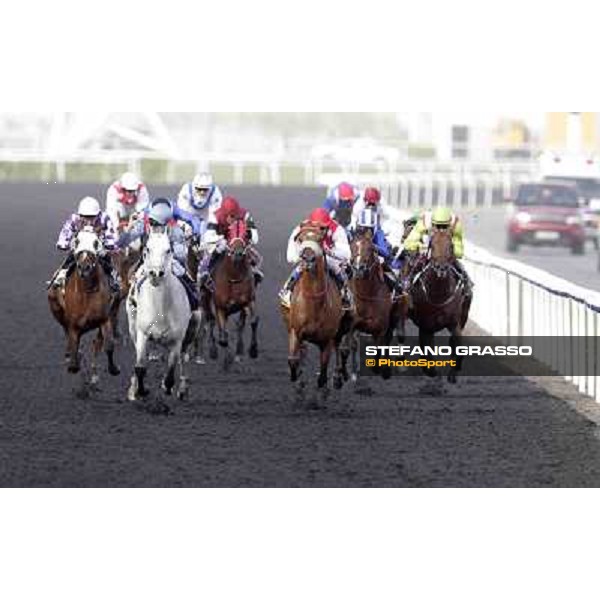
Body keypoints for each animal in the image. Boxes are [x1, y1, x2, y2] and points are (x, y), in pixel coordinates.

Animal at [47, 227, 120, 386]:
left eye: (96, 242)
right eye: (76, 241)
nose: (84, 267)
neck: (87, 292)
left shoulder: (104, 319)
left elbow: (109, 345)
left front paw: (113, 368)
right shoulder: (73, 325)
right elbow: (74, 351)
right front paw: (73, 361)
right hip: (55, 306)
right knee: (66, 333)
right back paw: (70, 354)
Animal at [204, 218, 258, 368]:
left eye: (246, 233)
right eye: (228, 232)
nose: (237, 253)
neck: (233, 277)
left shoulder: (249, 301)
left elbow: (253, 321)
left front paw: (253, 350)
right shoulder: (220, 307)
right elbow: (223, 338)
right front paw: (226, 358)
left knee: (239, 325)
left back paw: (238, 352)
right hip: (205, 299)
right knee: (210, 321)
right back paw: (213, 350)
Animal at [282, 223, 352, 392]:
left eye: (320, 240)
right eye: (300, 239)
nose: (308, 258)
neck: (313, 302)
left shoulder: (326, 339)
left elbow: (323, 374)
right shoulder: (295, 331)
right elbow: (293, 359)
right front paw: (297, 378)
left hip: (344, 325)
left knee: (340, 347)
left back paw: (338, 377)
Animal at [410, 227, 472, 382]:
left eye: (450, 246)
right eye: (432, 245)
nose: (441, 268)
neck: (438, 295)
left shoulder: (454, 322)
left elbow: (457, 342)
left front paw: (454, 371)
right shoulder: (426, 326)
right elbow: (427, 351)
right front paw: (432, 371)